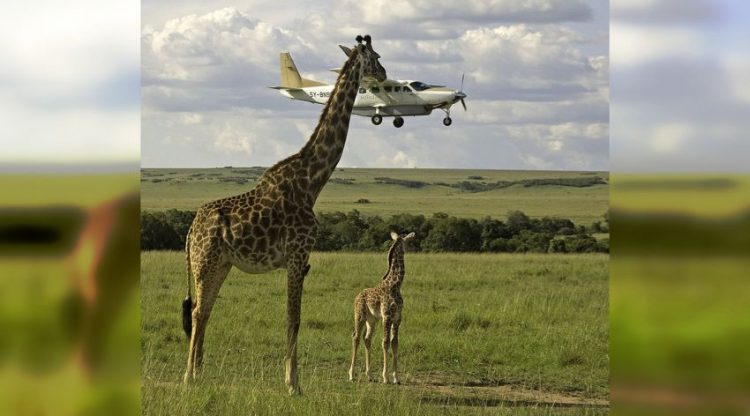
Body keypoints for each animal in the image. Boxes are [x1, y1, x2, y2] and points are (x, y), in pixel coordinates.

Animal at [182, 35, 388, 394]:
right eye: (374, 56)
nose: (385, 73)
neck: (312, 181)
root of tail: (191, 229)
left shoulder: (300, 260)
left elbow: (292, 318)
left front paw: (292, 380)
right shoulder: (296, 255)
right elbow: (294, 318)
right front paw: (293, 384)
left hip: (221, 264)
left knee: (203, 310)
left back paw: (199, 373)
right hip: (203, 262)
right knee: (196, 312)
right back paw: (188, 377)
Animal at [348, 231, 414, 384]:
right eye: (407, 241)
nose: (411, 248)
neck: (395, 285)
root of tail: (356, 297)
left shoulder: (397, 318)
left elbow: (395, 342)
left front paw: (396, 378)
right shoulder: (387, 316)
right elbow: (385, 342)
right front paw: (385, 377)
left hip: (372, 320)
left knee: (367, 338)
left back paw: (369, 375)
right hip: (359, 315)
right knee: (356, 337)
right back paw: (351, 375)